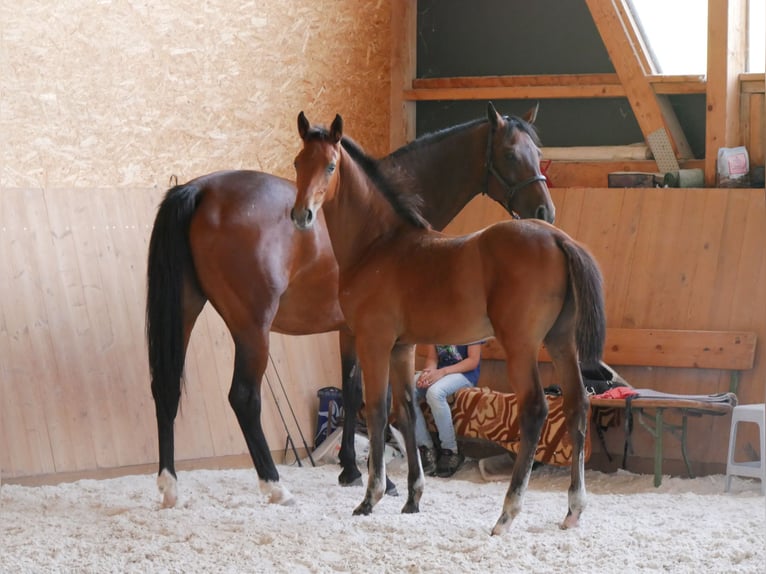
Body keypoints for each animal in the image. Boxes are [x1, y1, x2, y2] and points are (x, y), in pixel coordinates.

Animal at [146, 102, 552, 508]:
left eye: (538, 153)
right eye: (511, 154)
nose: (545, 212)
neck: (381, 223)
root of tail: (200, 189)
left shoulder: (351, 330)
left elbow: (352, 389)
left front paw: (351, 469)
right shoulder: (374, 333)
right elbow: (377, 397)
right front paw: (376, 478)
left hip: (185, 311)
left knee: (166, 388)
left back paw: (170, 487)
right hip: (252, 327)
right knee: (244, 397)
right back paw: (274, 485)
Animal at [292, 112, 608, 536]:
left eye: (329, 165)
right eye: (298, 163)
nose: (301, 215)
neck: (379, 245)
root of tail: (558, 239)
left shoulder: (374, 341)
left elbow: (375, 410)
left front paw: (371, 496)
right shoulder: (402, 347)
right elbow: (407, 411)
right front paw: (412, 498)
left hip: (521, 344)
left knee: (536, 410)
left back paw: (507, 513)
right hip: (560, 342)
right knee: (577, 405)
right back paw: (573, 509)